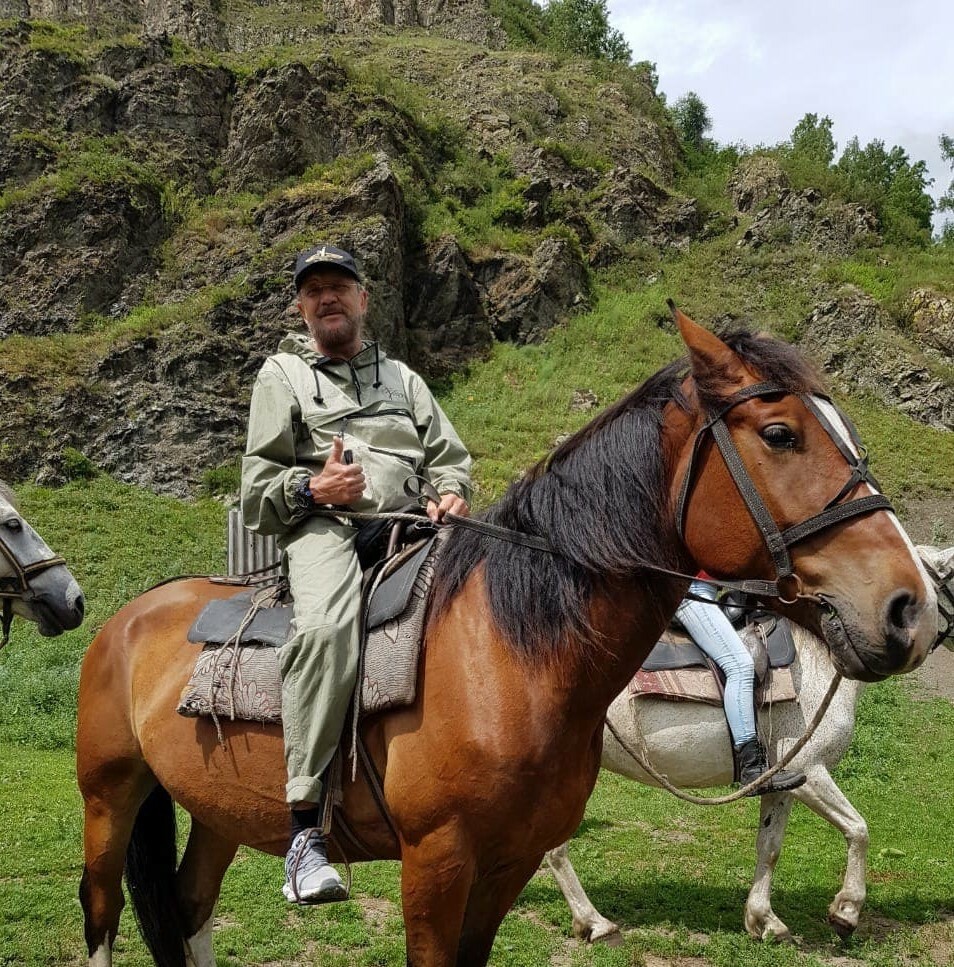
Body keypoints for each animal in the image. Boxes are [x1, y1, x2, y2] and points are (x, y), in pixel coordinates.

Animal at [544, 544, 952, 944]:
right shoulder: (811, 771)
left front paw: (764, 920)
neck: (820, 657)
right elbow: (858, 829)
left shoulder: (785, 782)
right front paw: (845, 913)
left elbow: (769, 847)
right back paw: (594, 922)